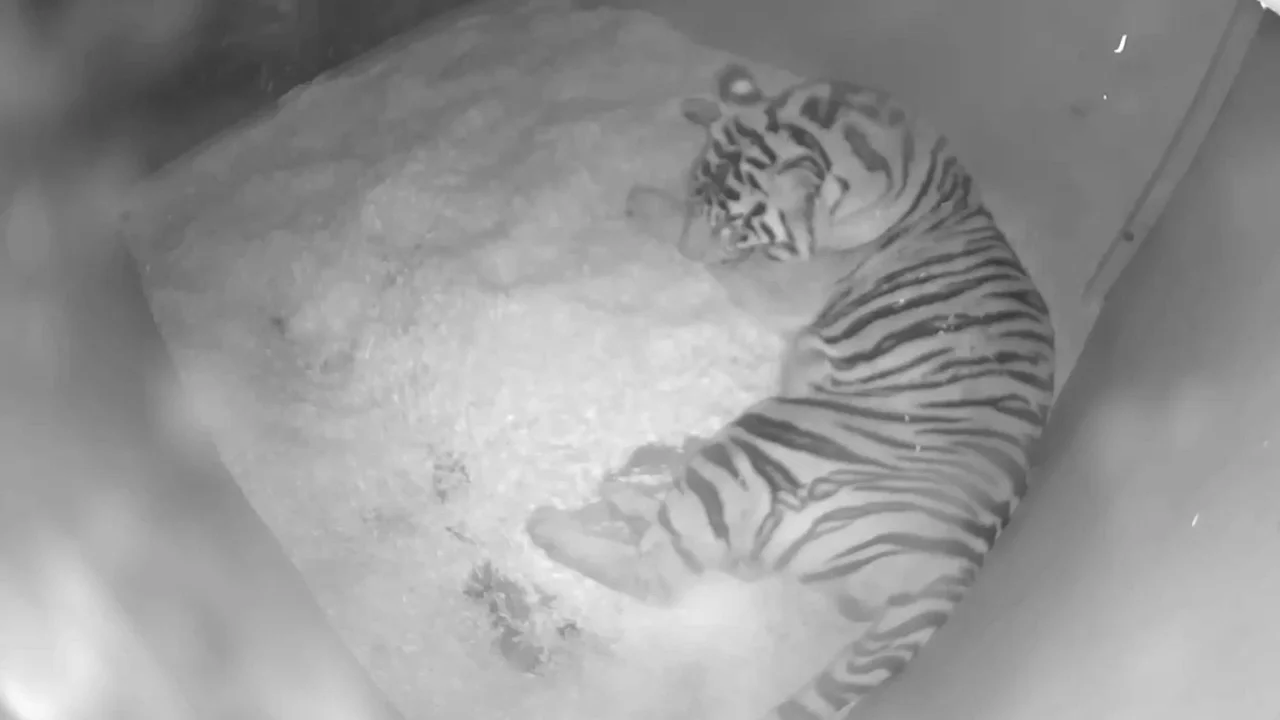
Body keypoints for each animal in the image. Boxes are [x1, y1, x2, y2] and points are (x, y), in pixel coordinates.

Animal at [526, 62, 1056, 720]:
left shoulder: (787, 284)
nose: (685, 248)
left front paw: (647, 206)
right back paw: (632, 489)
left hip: (766, 442)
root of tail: (959, 565)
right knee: (727, 555)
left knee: (666, 576)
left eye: (736, 225)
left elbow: (731, 266)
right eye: (698, 191)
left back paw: (552, 524)